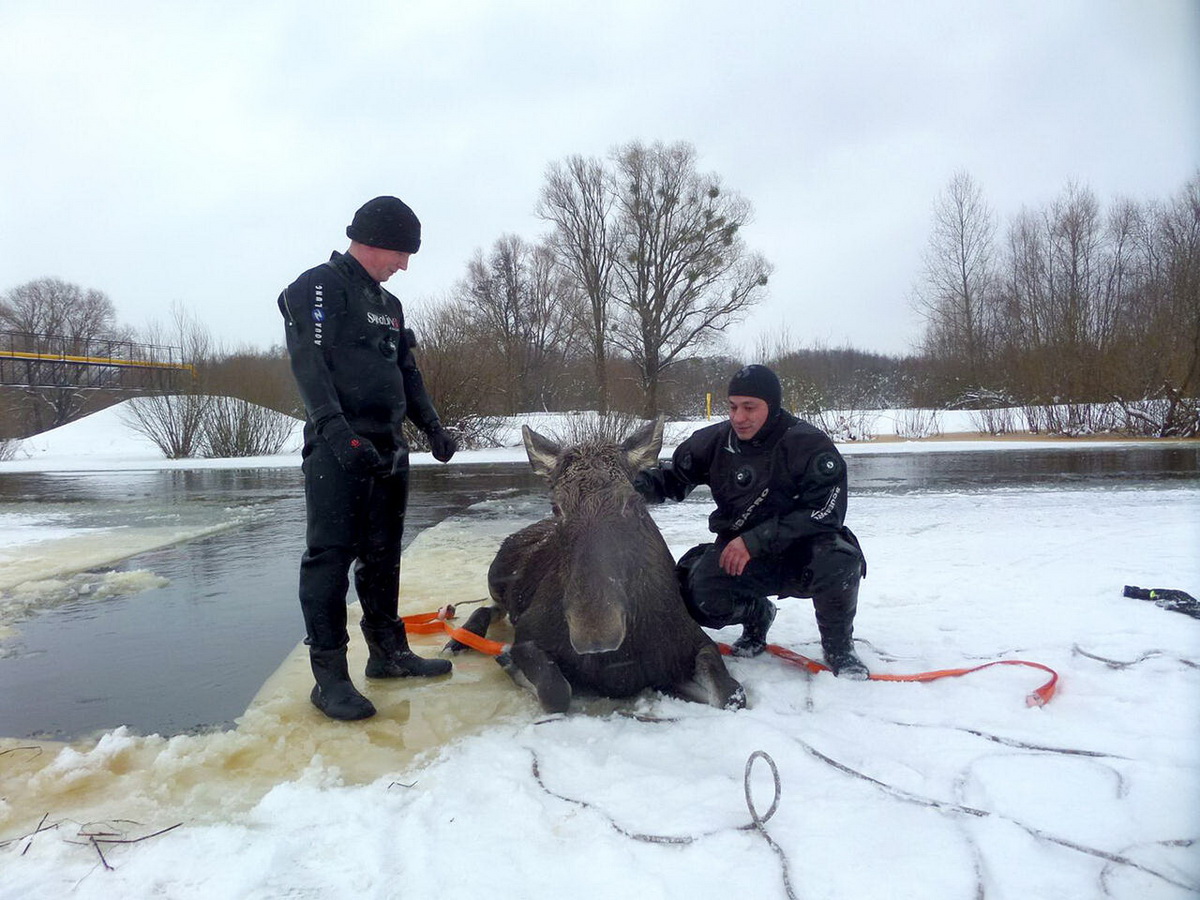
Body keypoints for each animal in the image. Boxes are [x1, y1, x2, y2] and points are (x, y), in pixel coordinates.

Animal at [451, 420, 744, 715]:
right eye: (556, 506)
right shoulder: (527, 634)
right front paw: (509, 661)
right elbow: (555, 691)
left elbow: (731, 694)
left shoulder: (692, 643)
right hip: (495, 579)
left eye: (633, 502)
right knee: (488, 608)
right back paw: (460, 638)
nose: (595, 633)